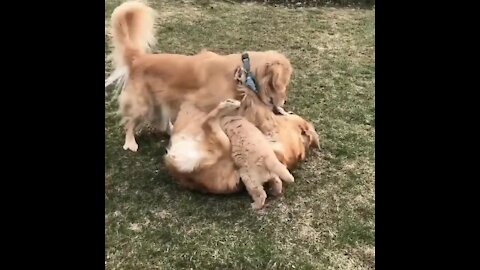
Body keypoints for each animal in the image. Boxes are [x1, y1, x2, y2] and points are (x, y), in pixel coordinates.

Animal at [105, 0, 292, 152]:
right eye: (283, 83)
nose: (283, 103)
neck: (241, 70)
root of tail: (138, 58)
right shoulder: (198, 103)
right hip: (142, 103)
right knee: (130, 121)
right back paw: (130, 142)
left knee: (162, 121)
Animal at [164, 68, 318, 195]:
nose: (280, 106)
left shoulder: (262, 115)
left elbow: (252, 95)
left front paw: (243, 79)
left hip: (220, 139)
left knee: (208, 121)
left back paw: (226, 105)